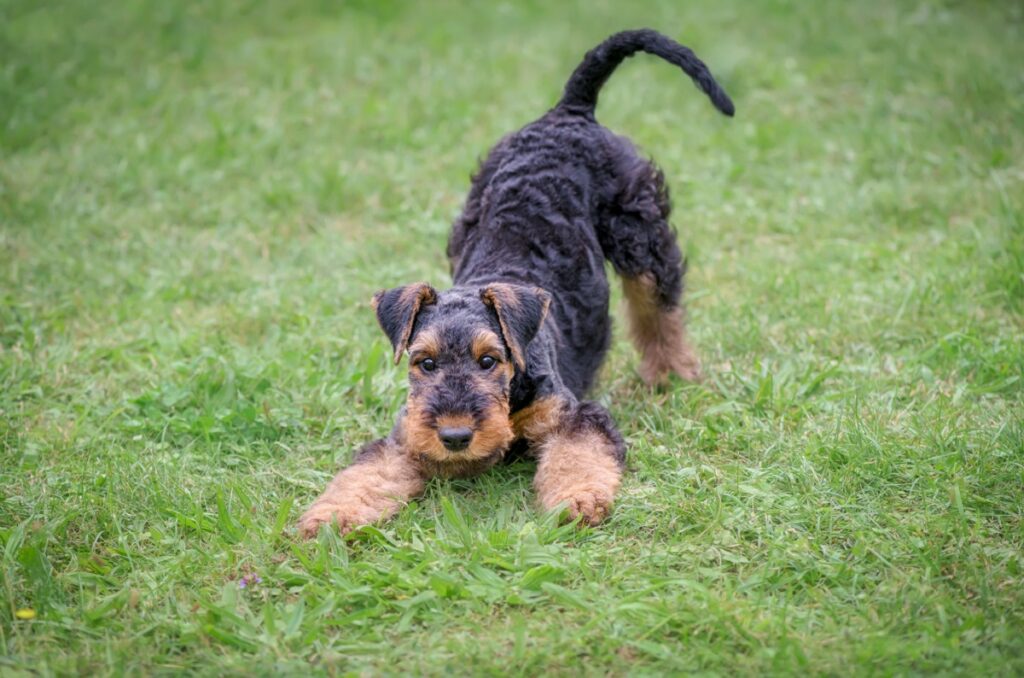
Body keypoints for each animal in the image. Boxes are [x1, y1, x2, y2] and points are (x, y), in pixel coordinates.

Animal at [299, 29, 733, 540]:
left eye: (489, 360)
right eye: (424, 363)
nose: (455, 437)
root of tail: (568, 111)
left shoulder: (575, 416)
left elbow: (575, 458)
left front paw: (577, 500)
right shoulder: (404, 438)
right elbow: (367, 473)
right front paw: (330, 516)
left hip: (640, 233)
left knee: (659, 308)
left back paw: (670, 374)